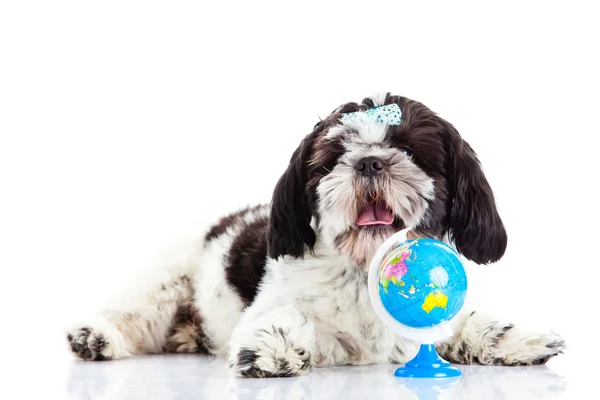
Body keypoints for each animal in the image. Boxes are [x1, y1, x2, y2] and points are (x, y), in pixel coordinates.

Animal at [68, 92, 564, 376]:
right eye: (337, 155)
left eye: (407, 150)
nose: (369, 161)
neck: (366, 271)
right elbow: (298, 322)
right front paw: (271, 348)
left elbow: (472, 324)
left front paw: (518, 340)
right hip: (163, 285)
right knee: (130, 314)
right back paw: (94, 336)